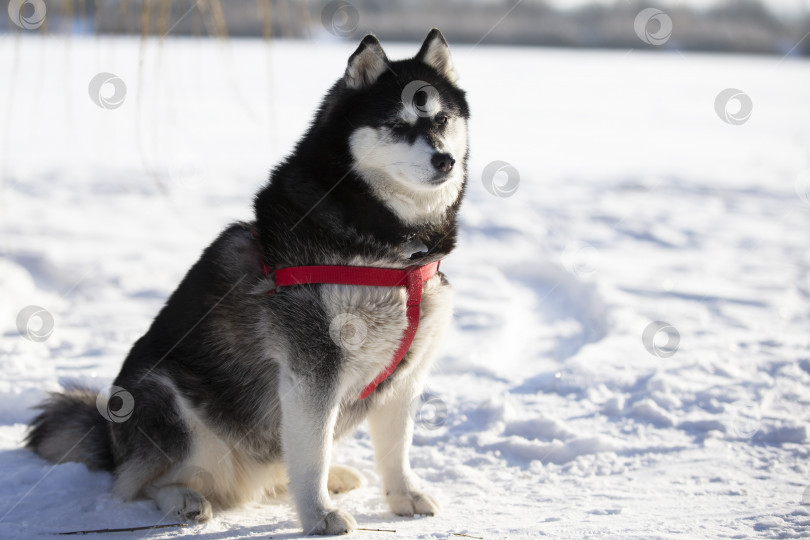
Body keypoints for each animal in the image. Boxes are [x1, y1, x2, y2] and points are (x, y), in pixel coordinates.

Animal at [26, 27, 468, 532]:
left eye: (442, 119)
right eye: (397, 124)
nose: (445, 160)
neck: (393, 250)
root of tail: (110, 438)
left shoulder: (408, 373)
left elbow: (395, 449)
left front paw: (402, 495)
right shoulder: (311, 369)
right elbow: (310, 454)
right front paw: (318, 515)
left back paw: (333, 476)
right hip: (162, 400)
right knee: (136, 485)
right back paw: (183, 497)